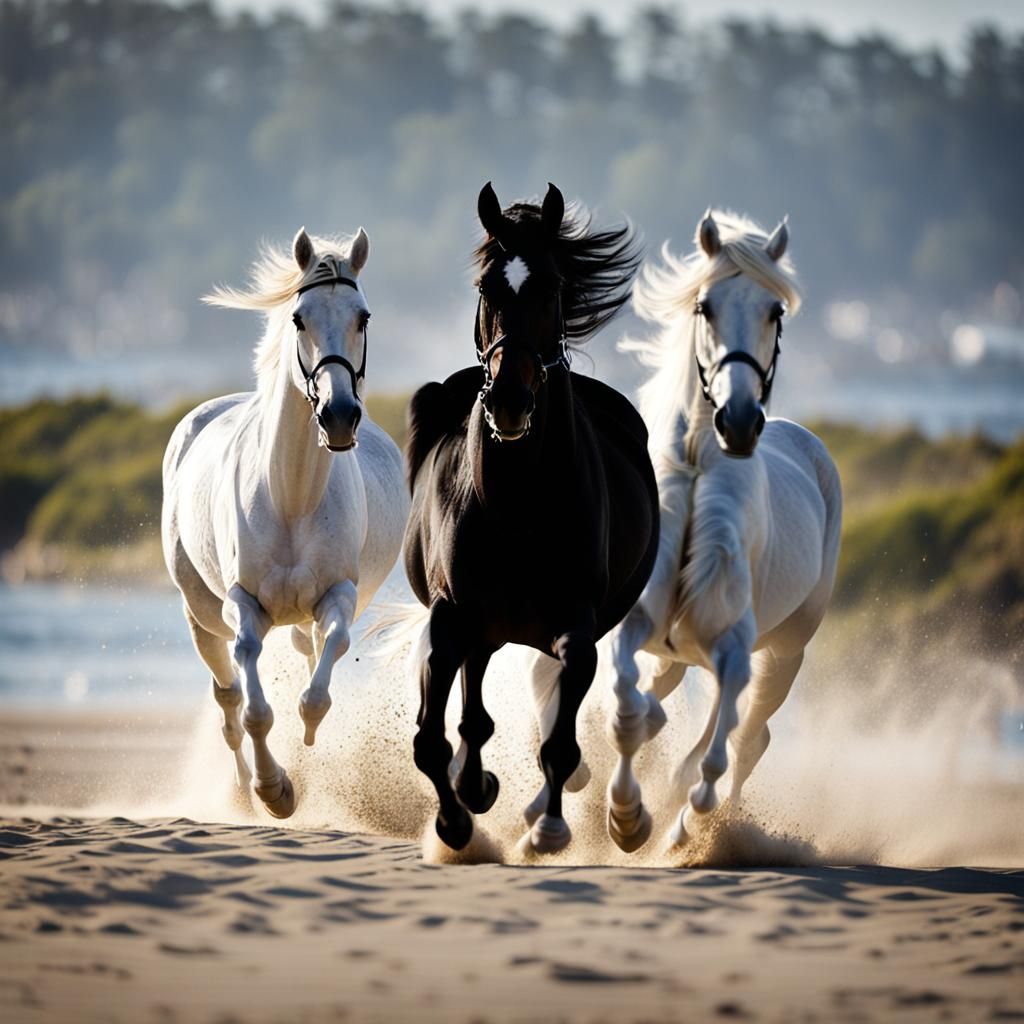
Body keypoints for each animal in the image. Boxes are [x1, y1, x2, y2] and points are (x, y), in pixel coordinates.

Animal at [162, 227, 408, 818]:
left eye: (363, 317)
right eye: (299, 318)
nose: (338, 417)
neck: (290, 495)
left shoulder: (338, 595)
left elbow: (319, 684)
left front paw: (306, 752)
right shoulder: (243, 604)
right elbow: (254, 704)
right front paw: (274, 792)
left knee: (305, 654)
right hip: (201, 615)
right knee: (227, 695)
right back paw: (241, 790)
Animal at [402, 182, 659, 854]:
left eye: (550, 286)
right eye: (487, 286)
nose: (511, 402)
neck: (514, 500)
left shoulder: (577, 628)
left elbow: (560, 743)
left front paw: (546, 826)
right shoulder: (452, 617)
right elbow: (431, 738)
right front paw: (454, 821)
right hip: (485, 630)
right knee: (471, 712)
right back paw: (474, 789)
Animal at [604, 210, 842, 852]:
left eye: (775, 310)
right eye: (704, 306)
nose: (737, 423)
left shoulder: (734, 645)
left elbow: (711, 757)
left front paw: (678, 829)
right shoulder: (639, 626)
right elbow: (627, 713)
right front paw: (626, 820)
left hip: (783, 653)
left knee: (748, 737)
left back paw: (714, 829)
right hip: (682, 656)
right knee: (681, 709)